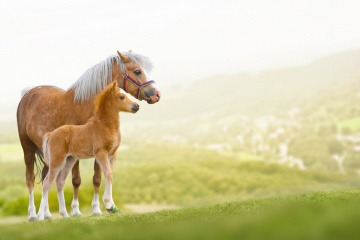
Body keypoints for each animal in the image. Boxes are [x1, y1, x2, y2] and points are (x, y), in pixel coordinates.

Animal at [36, 81, 138, 219]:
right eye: (122, 97)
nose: (136, 106)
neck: (105, 125)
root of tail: (51, 134)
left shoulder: (112, 154)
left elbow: (110, 174)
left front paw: (113, 207)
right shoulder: (101, 153)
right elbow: (108, 174)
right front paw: (108, 205)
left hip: (69, 160)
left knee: (60, 182)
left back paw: (65, 214)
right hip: (57, 161)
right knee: (47, 183)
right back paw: (41, 216)